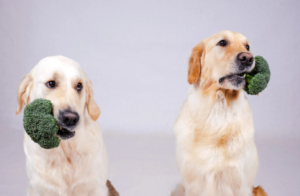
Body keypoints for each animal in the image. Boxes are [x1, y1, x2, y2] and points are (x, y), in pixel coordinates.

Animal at [15, 56, 118, 195]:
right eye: (51, 83)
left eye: (79, 86)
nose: (71, 118)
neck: (65, 150)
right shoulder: (39, 188)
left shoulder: (97, 187)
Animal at [173, 31, 268, 196]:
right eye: (222, 42)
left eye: (247, 46)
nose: (248, 58)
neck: (218, 109)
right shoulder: (192, 183)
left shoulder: (241, 184)